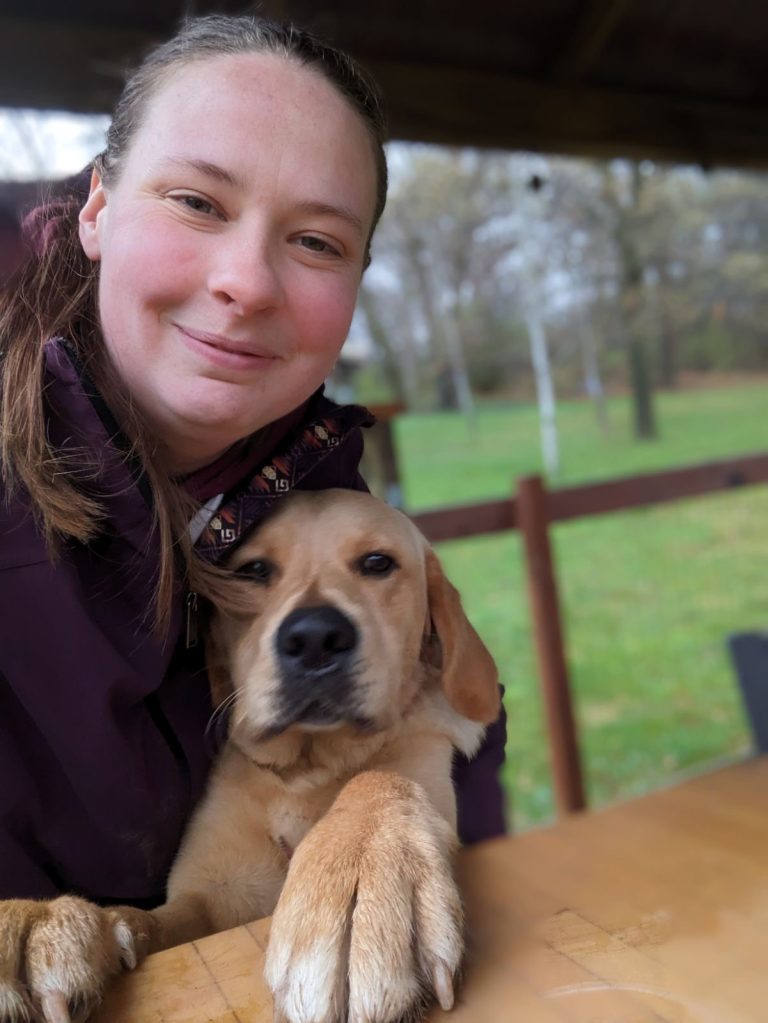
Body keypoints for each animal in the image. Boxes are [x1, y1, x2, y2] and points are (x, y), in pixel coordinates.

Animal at [0, 488, 501, 1023]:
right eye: (253, 571)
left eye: (377, 563)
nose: (315, 638)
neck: (308, 768)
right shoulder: (213, 898)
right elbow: (147, 918)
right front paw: (42, 920)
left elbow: (376, 780)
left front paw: (359, 875)